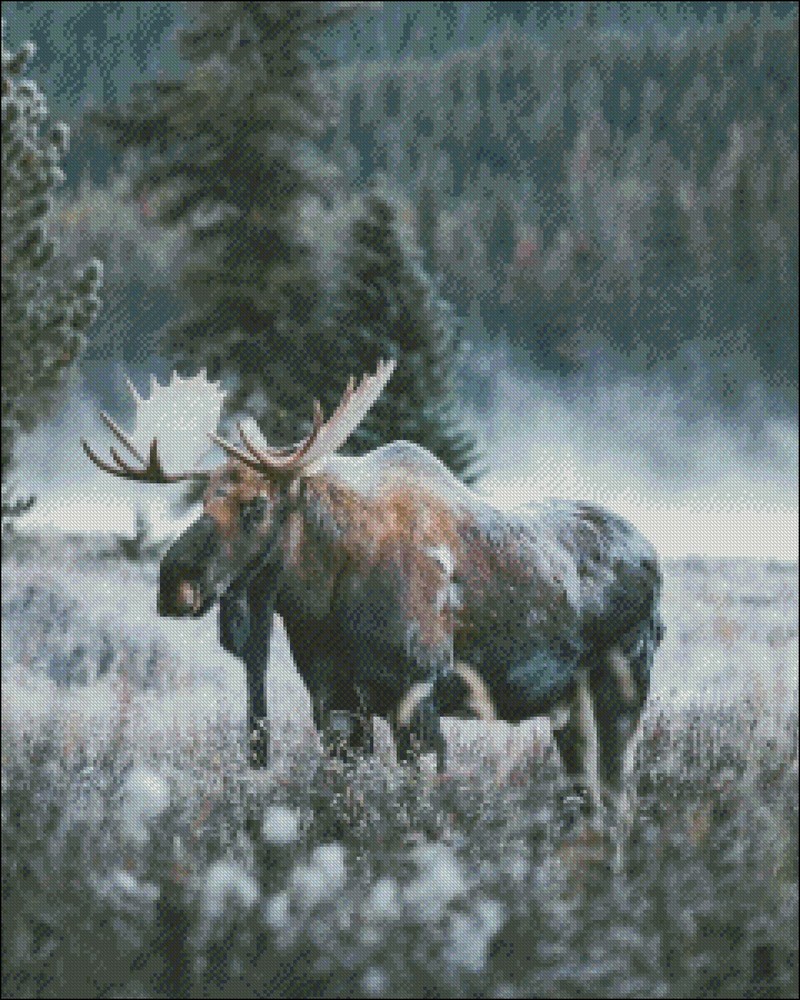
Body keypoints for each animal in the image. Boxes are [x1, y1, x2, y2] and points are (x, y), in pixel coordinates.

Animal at [83, 360, 664, 834]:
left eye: (256, 504)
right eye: (203, 498)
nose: (173, 582)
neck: (322, 598)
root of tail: (654, 557)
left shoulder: (418, 695)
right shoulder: (335, 704)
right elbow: (344, 812)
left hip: (623, 687)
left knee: (620, 803)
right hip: (569, 708)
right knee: (587, 804)